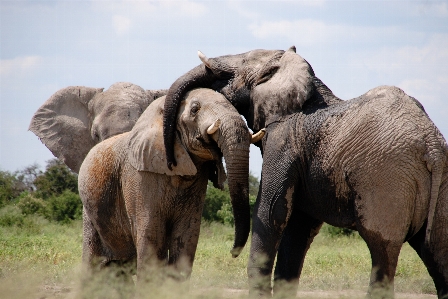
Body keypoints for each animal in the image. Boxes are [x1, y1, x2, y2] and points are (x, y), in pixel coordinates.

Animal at [75, 88, 260, 282]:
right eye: (195, 109)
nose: (233, 253)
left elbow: (187, 234)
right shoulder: (139, 176)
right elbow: (151, 233)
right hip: (89, 212)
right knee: (93, 263)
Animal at [160, 47, 448, 298]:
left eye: (238, 66)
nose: (172, 161)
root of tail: (431, 145)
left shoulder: (284, 139)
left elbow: (271, 211)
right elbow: (298, 226)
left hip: (387, 180)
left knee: (382, 251)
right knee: (437, 252)